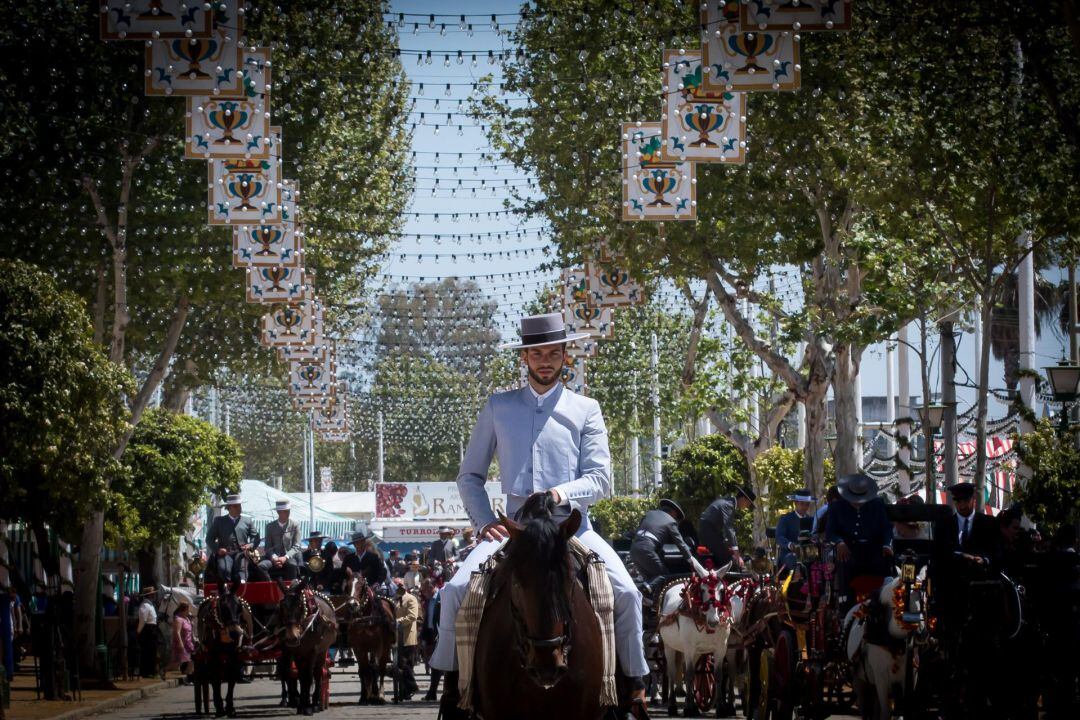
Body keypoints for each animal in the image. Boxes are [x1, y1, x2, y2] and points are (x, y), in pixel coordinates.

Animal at [272, 578, 334, 716]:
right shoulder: (296, 652)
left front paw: (308, 707)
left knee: (318, 673)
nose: (292, 637)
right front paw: (301, 704)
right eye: (282, 606)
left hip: (322, 651)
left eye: (300, 605)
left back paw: (315, 703)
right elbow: (301, 676)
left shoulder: (313, 651)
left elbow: (309, 677)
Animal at [345, 574, 397, 703]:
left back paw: (378, 693)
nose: (352, 604)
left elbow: (377, 668)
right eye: (347, 586)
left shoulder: (378, 646)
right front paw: (364, 696)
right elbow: (363, 669)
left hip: (385, 647)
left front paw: (379, 694)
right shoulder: (358, 648)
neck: (366, 619)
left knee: (379, 667)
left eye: (362, 586)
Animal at [656, 565, 734, 716]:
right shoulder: (689, 648)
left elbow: (718, 675)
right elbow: (690, 674)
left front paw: (721, 708)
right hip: (670, 647)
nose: (714, 621)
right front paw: (688, 709)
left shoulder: (721, 649)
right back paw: (673, 705)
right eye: (702, 589)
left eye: (722, 590)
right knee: (672, 672)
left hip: (696, 652)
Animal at [842, 569, 928, 716]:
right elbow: (885, 712)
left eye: (925, 597)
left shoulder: (911, 677)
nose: (921, 633)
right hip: (858, 680)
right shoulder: (880, 677)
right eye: (903, 598)